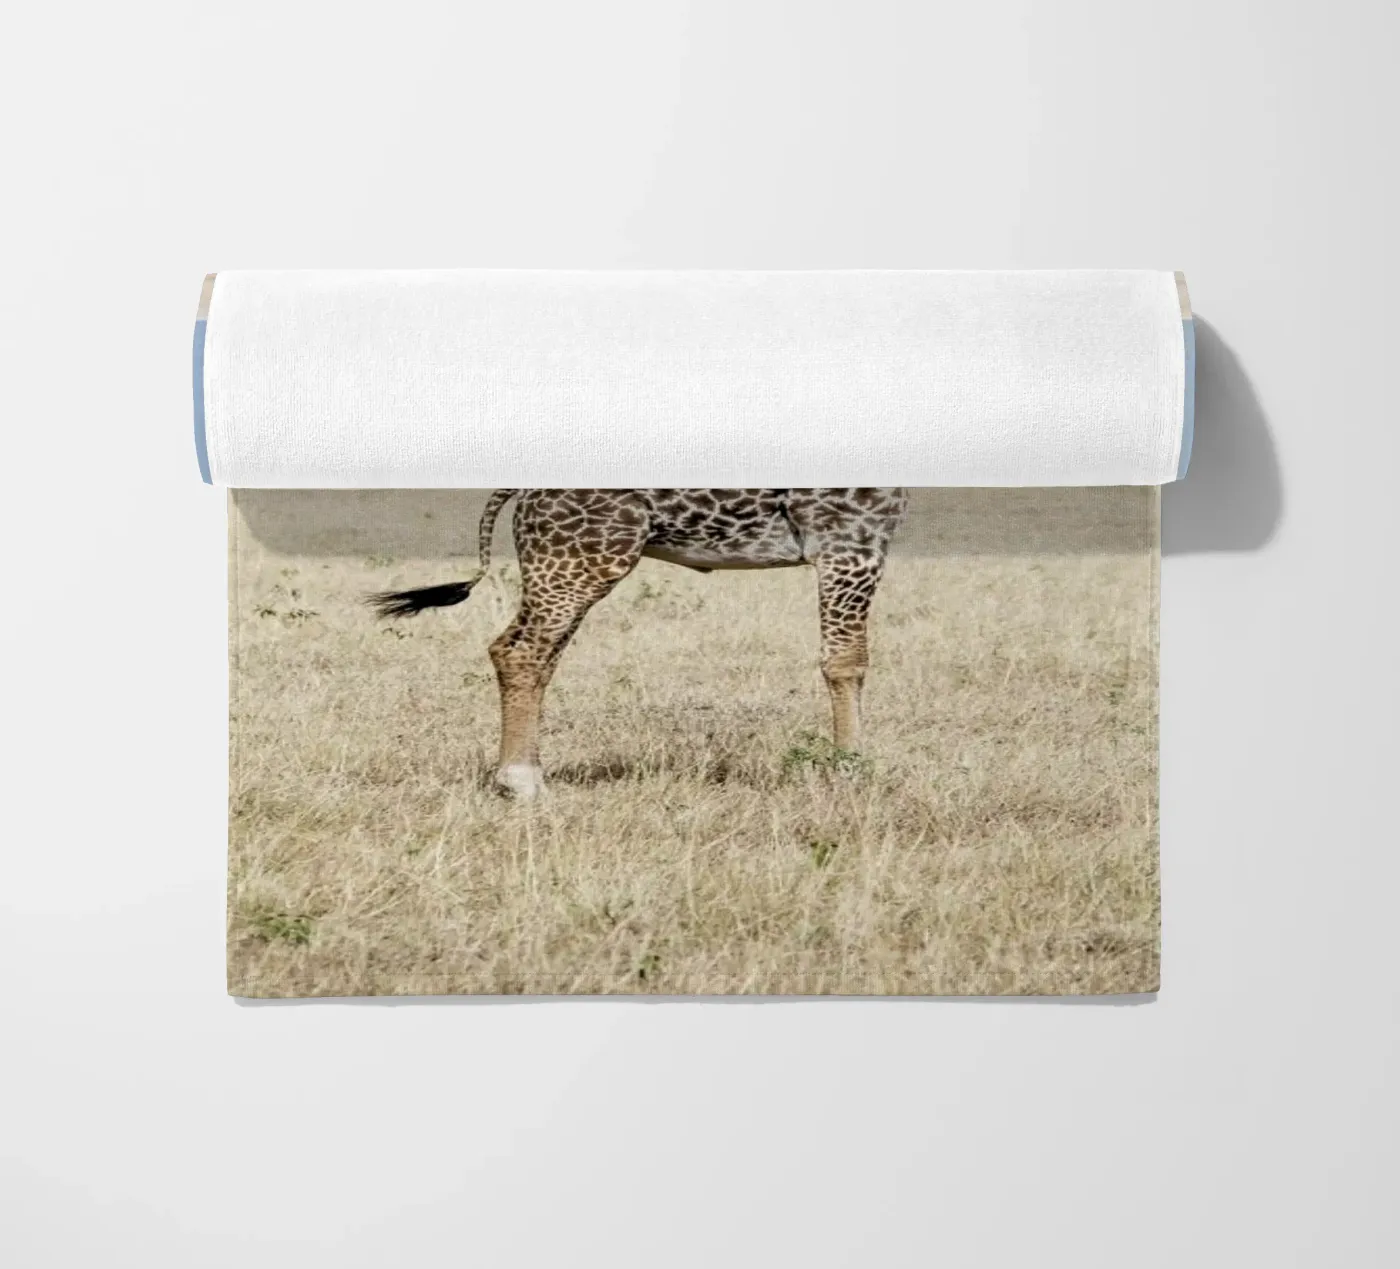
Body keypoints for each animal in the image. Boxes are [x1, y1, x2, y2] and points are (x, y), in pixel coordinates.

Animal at [370, 489, 908, 798]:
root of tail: (521, 491)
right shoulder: (849, 542)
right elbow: (846, 662)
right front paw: (851, 773)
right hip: (581, 559)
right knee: (520, 651)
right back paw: (520, 781)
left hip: (565, 564)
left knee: (532, 654)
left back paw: (527, 774)